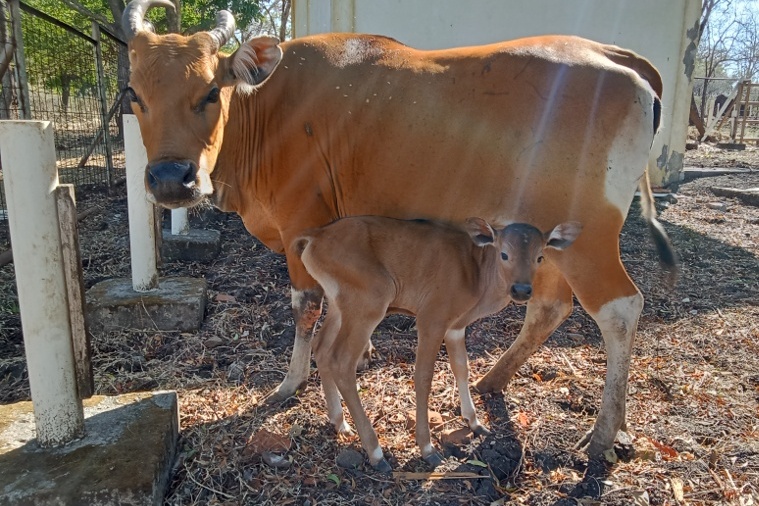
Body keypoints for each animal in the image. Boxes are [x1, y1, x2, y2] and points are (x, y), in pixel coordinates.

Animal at [296, 214, 580, 470]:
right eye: (504, 254)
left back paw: (340, 422)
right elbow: (423, 377)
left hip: (339, 302)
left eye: (539, 257)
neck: (476, 277)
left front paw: (475, 422)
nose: (521, 290)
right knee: (341, 360)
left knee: (321, 346)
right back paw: (376, 453)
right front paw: (427, 448)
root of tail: (315, 237)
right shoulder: (431, 317)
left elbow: (462, 368)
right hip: (370, 299)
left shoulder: (456, 326)